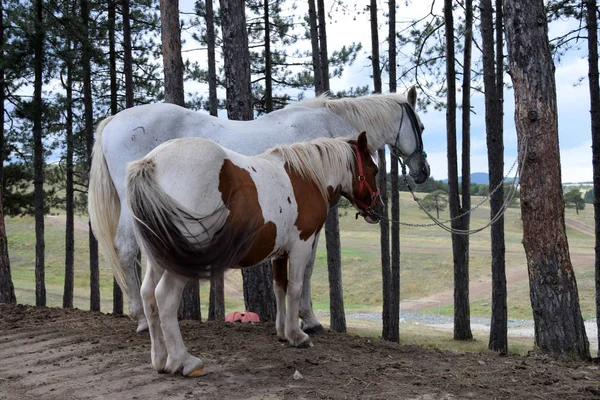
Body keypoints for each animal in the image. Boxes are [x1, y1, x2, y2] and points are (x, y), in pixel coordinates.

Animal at [88, 89, 426, 332]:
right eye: (421, 126)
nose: (423, 171)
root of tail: (113, 121)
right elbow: (307, 267)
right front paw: (309, 319)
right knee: (127, 250)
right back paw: (142, 318)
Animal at [125, 132, 380, 378]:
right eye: (375, 170)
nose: (378, 210)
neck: (306, 176)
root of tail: (151, 162)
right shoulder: (301, 245)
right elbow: (295, 288)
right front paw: (297, 335)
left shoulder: (280, 253)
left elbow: (280, 287)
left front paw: (282, 332)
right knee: (165, 298)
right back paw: (185, 361)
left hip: (160, 257)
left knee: (148, 295)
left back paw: (160, 359)